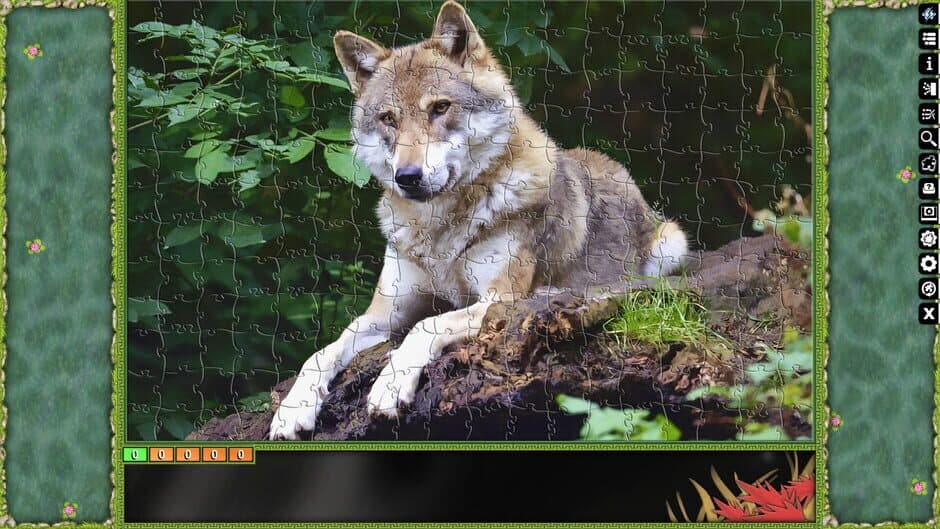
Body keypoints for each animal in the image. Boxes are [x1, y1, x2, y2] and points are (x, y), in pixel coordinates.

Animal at [269, 1, 687, 439]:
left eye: (440, 108)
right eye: (388, 119)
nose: (407, 177)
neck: (439, 229)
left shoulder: (496, 300)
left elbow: (426, 326)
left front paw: (390, 386)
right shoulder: (383, 316)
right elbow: (322, 351)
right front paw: (292, 409)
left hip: (671, 244)